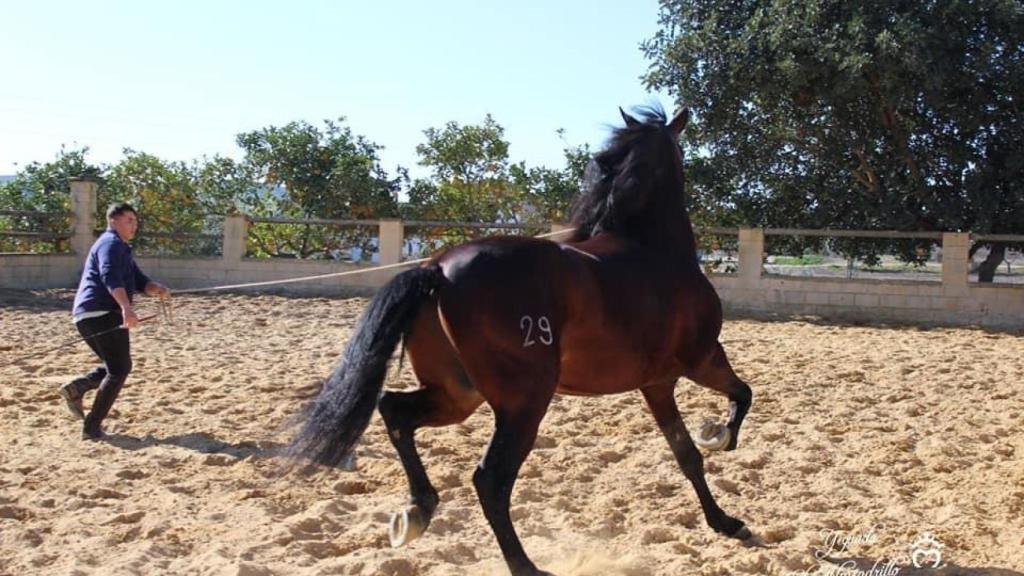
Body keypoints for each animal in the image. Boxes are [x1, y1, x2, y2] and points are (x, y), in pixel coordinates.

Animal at [288, 105, 754, 576]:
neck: (652, 247)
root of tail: (438, 269)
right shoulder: (701, 359)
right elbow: (742, 396)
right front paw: (720, 438)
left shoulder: (657, 384)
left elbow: (686, 454)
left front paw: (724, 521)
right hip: (524, 402)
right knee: (490, 479)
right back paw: (525, 565)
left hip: (458, 395)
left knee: (395, 411)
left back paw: (418, 511)